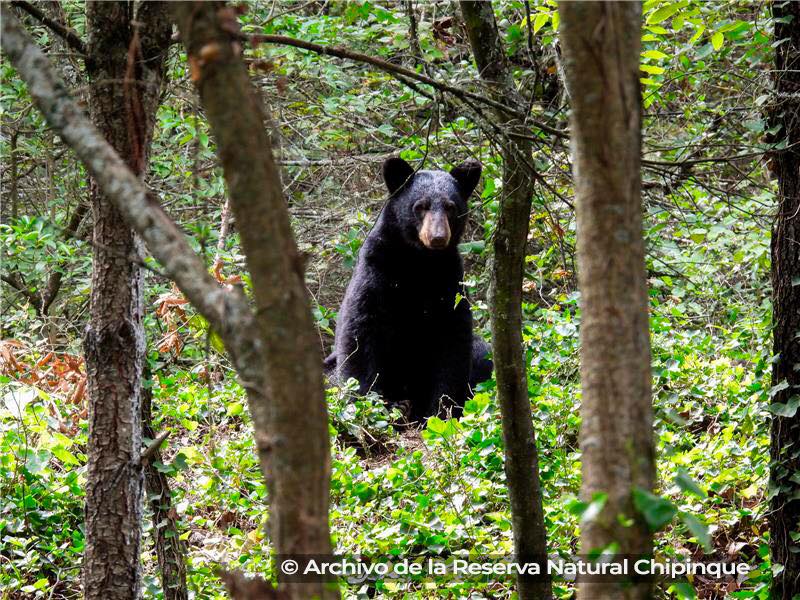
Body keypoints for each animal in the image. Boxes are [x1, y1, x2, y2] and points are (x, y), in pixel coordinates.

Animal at [325, 156, 493, 422]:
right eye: (420, 206)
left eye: (451, 207)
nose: (437, 237)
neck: (418, 262)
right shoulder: (376, 272)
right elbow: (360, 332)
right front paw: (365, 406)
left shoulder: (449, 283)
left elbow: (452, 341)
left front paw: (440, 411)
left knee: (482, 354)